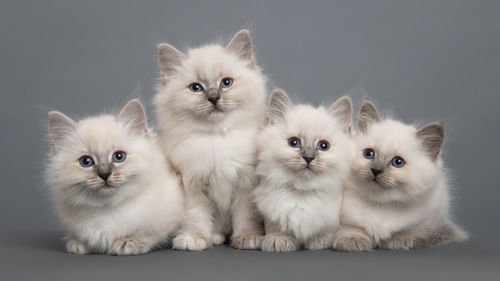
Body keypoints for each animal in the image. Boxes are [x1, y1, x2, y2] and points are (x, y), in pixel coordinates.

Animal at [45, 98, 184, 254]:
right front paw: (78, 244)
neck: (106, 209)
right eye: (86, 161)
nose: (104, 174)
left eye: (119, 157)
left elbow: (149, 234)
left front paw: (128, 243)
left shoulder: (169, 215)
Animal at [154, 30, 266, 249]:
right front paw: (193, 238)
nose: (213, 97)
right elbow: (196, 217)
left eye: (226, 83)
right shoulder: (192, 186)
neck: (216, 139)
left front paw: (248, 238)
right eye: (196, 88)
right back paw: (214, 236)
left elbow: (246, 216)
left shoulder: (245, 184)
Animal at [252, 88, 354, 250]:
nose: (308, 157)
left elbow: (325, 231)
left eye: (323, 146)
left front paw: (319, 240)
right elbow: (276, 228)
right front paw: (278, 240)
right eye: (294, 142)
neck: (302, 193)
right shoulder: (272, 214)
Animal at [332, 99, 468, 250]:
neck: (379, 205)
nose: (376, 170)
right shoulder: (344, 219)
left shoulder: (427, 217)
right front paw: (353, 241)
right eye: (369, 154)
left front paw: (398, 241)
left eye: (398, 162)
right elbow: (352, 228)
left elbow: (409, 231)